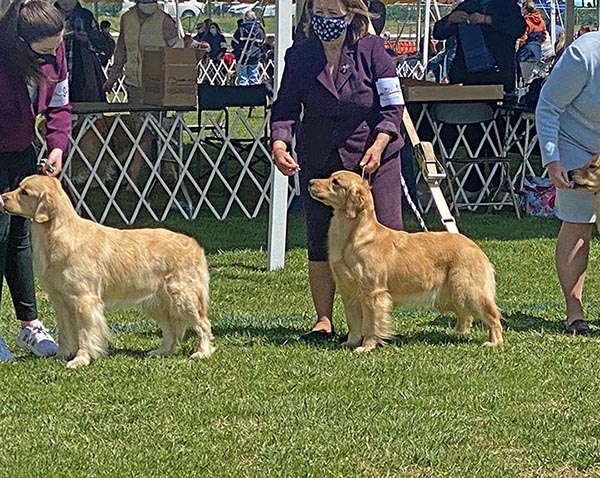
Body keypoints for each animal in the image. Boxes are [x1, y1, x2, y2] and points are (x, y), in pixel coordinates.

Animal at [3, 175, 213, 368]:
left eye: (25, 192)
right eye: (19, 187)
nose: (3, 198)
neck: (56, 233)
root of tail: (194, 244)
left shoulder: (84, 300)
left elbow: (84, 334)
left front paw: (80, 359)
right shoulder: (61, 301)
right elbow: (65, 333)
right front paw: (61, 356)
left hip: (183, 297)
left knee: (203, 324)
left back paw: (202, 352)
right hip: (156, 302)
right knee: (171, 330)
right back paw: (161, 351)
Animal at [308, 171, 503, 353]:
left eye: (335, 182)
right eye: (330, 177)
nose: (310, 182)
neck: (353, 235)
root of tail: (474, 246)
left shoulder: (372, 293)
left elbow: (370, 325)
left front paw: (367, 346)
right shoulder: (349, 292)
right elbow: (354, 322)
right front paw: (350, 343)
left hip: (467, 289)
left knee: (493, 316)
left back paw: (494, 342)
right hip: (451, 295)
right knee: (467, 316)